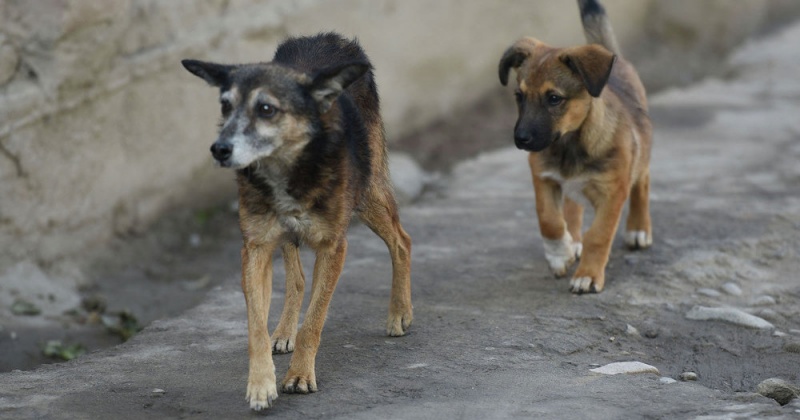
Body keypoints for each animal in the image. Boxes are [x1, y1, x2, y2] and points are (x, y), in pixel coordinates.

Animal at [183, 32, 412, 410]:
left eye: (266, 108)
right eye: (226, 106)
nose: (219, 149)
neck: (287, 171)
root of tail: (331, 38)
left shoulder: (334, 246)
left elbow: (314, 322)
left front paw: (301, 376)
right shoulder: (256, 247)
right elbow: (256, 327)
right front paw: (261, 384)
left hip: (366, 194)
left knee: (401, 240)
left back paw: (399, 313)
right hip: (289, 234)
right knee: (298, 279)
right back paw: (284, 331)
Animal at [500, 0, 648, 294]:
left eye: (554, 98)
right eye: (519, 96)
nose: (521, 139)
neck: (569, 145)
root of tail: (615, 59)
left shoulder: (613, 192)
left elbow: (599, 235)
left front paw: (588, 275)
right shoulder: (543, 178)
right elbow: (549, 220)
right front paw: (560, 253)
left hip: (642, 156)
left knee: (642, 185)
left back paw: (639, 230)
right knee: (572, 208)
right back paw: (573, 240)